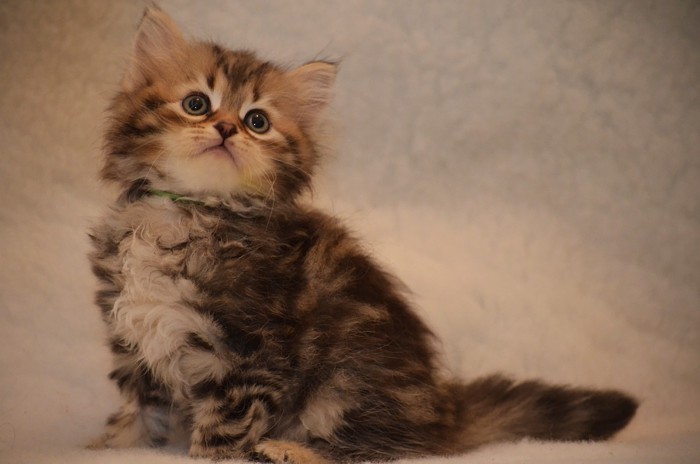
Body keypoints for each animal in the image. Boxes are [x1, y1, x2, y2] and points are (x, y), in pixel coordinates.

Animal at [88, 6, 638, 463]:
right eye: (197, 104)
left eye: (257, 121)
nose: (226, 129)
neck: (190, 211)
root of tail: (443, 410)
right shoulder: (136, 343)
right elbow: (140, 411)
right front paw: (111, 446)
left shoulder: (251, 351)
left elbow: (224, 429)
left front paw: (209, 455)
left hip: (348, 381)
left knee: (378, 448)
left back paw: (290, 450)